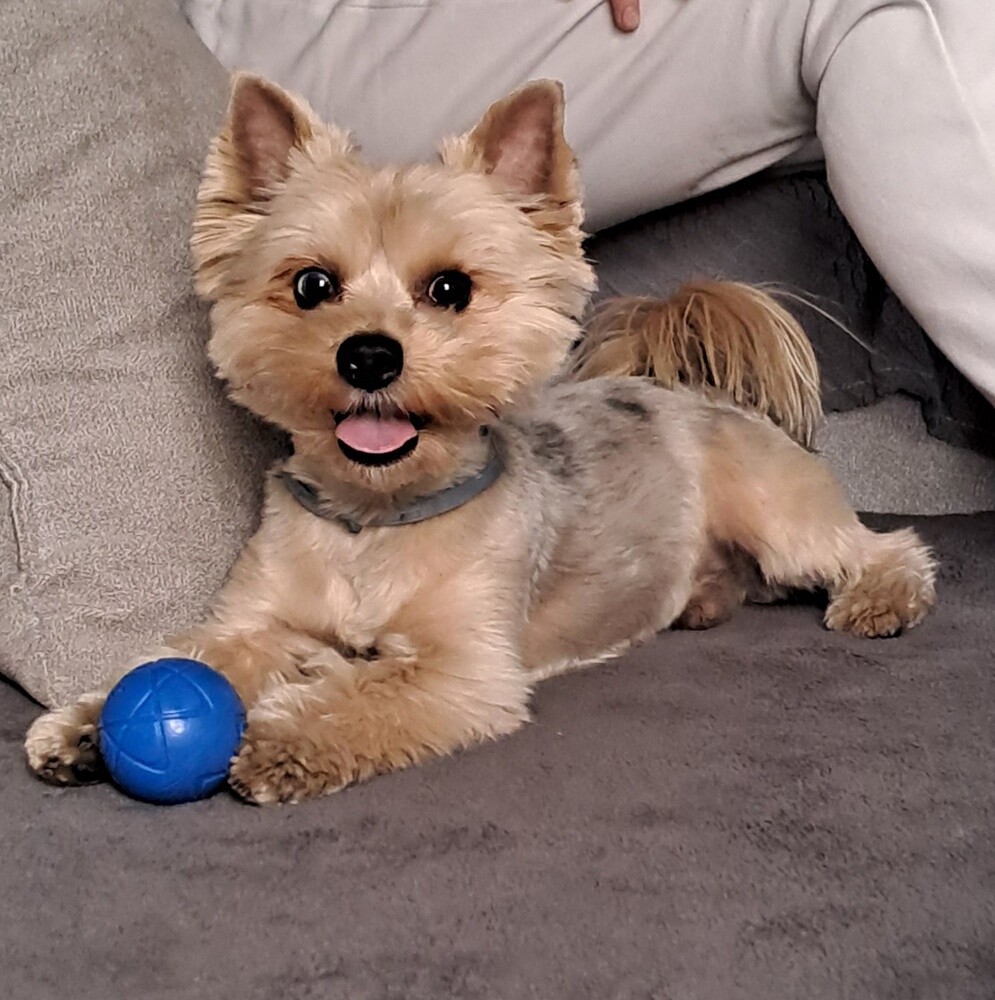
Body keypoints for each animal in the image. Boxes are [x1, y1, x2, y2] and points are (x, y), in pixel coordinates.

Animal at [25, 75, 936, 804]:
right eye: (312, 285)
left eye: (449, 289)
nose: (367, 354)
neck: (375, 519)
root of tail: (690, 390)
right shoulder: (258, 621)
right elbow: (186, 660)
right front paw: (87, 724)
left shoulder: (461, 667)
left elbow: (367, 693)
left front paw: (285, 736)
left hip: (776, 513)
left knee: (880, 548)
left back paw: (878, 599)